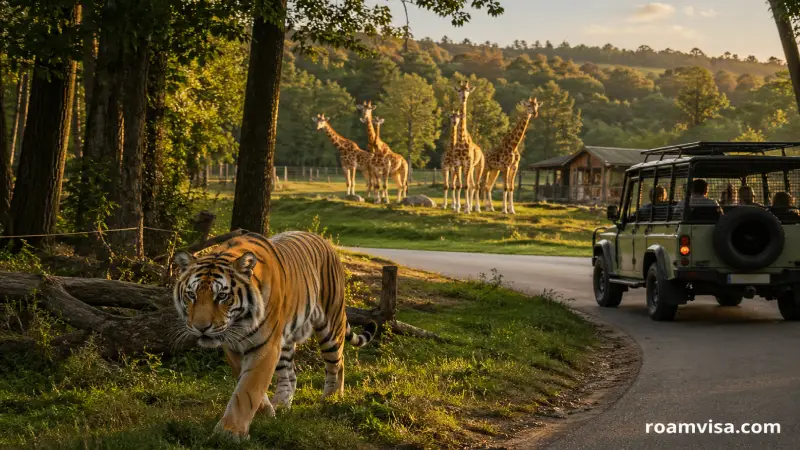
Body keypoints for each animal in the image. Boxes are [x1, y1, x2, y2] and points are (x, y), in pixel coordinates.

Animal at [172, 230, 376, 439]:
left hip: (331, 325)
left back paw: (330, 398)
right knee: (290, 375)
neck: (239, 323)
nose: (201, 327)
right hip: (285, 342)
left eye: (222, 296)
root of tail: (324, 241)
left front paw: (230, 432)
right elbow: (247, 383)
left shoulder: (265, 345)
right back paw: (281, 404)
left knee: (337, 363)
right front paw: (266, 412)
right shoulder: (234, 347)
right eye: (191, 295)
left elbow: (248, 388)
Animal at [451, 80, 485, 214]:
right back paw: (469, 206)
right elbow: (459, 185)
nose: (464, 98)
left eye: (468, 90)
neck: (461, 140)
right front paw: (458, 208)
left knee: (475, 185)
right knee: (471, 184)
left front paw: (466, 210)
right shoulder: (457, 163)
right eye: (459, 90)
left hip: (478, 167)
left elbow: (466, 185)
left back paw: (477, 208)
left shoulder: (467, 163)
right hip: (469, 168)